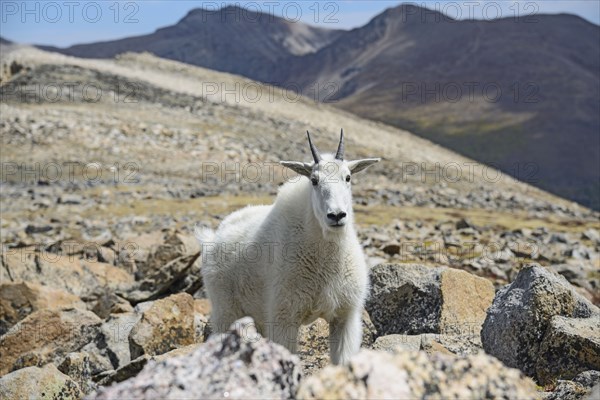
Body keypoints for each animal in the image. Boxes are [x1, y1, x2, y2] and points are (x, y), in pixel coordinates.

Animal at [198, 131, 380, 366]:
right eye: (314, 180)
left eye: (348, 177)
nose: (336, 216)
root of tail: (214, 235)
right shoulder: (284, 317)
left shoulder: (345, 317)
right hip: (225, 308)